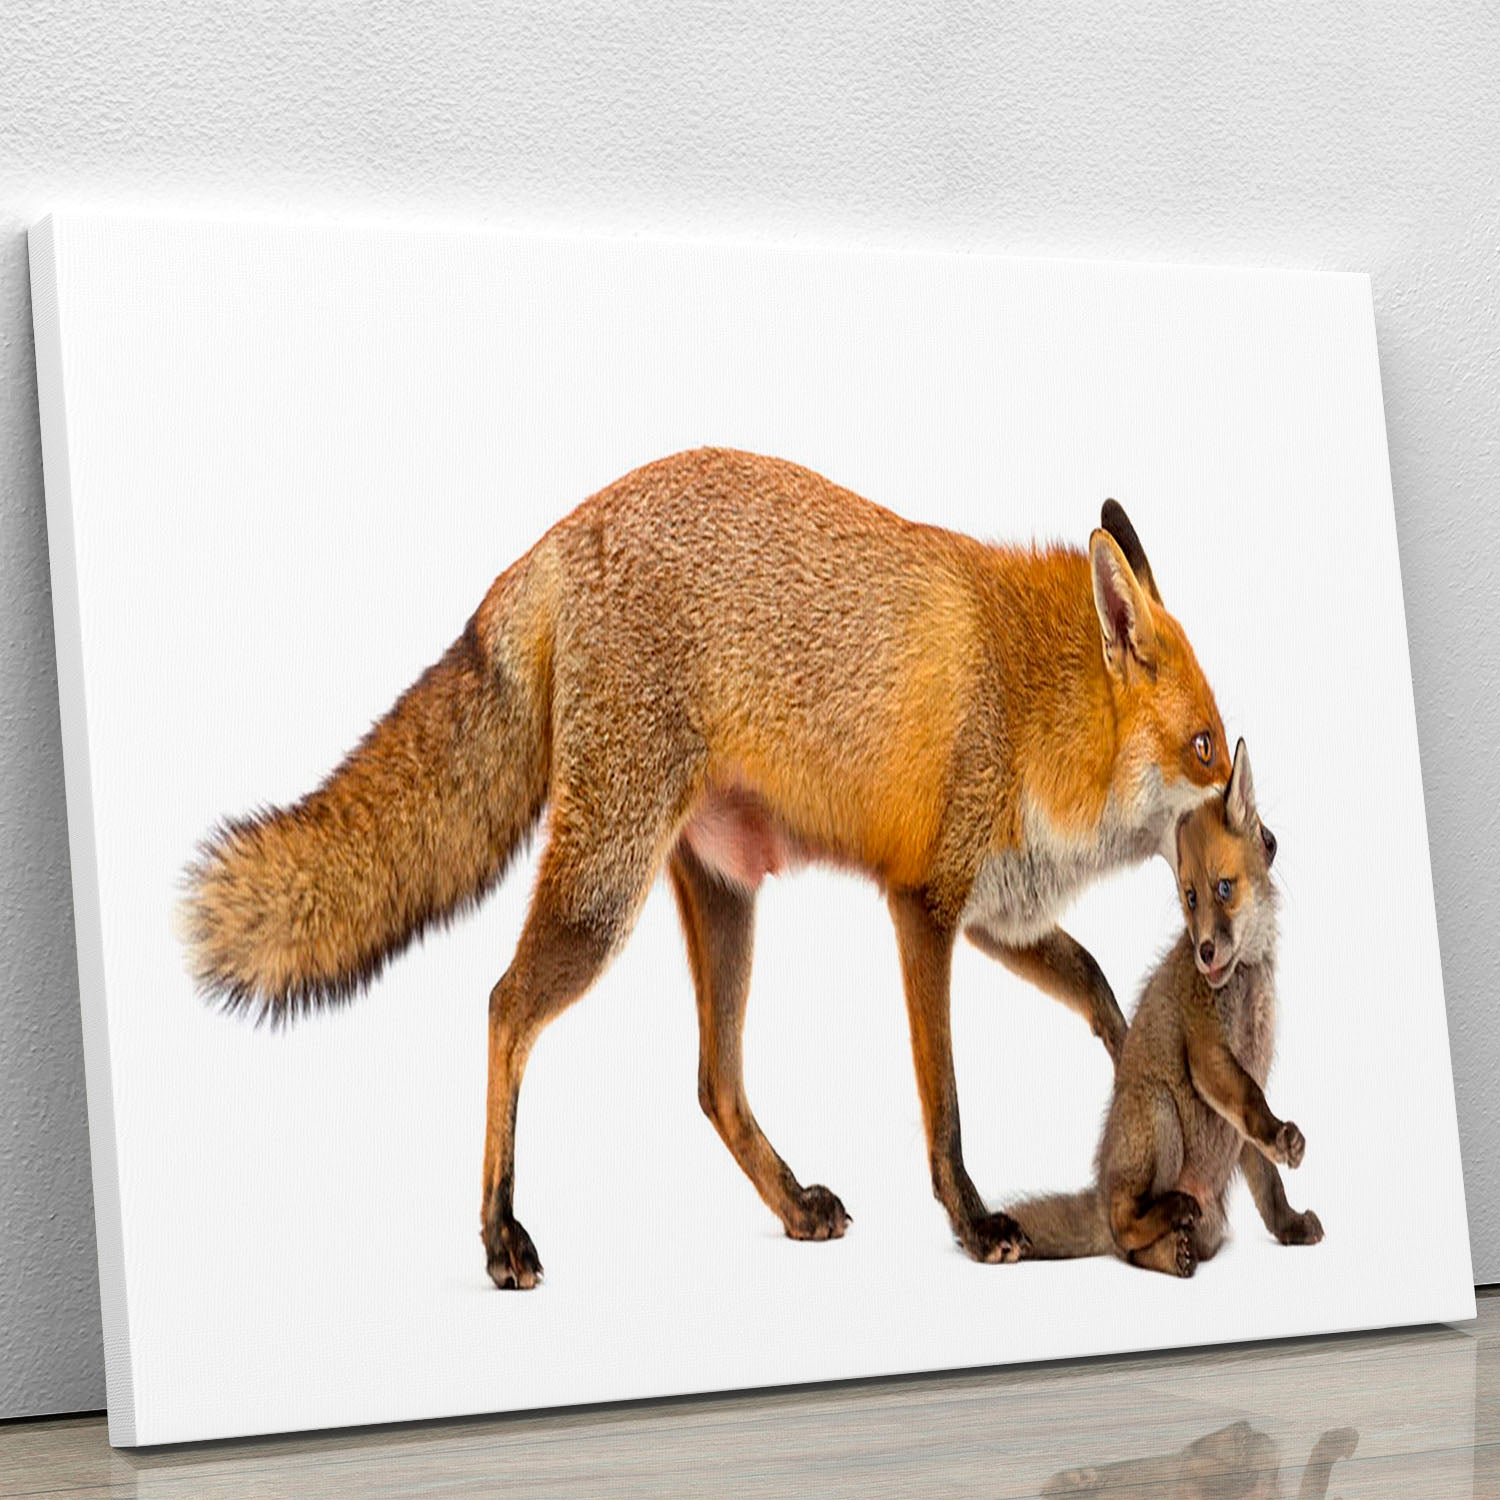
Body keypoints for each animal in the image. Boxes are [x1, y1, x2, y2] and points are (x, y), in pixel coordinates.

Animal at [179, 446, 1232, 1290]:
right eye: (1209, 748)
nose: (1254, 831)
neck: (1027, 705)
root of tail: (557, 534)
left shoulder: (992, 909)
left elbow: (1096, 984)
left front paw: (1141, 1069)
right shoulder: (921, 905)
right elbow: (946, 1108)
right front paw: (974, 1225)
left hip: (723, 896)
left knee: (711, 1082)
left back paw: (792, 1205)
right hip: (605, 890)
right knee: (506, 1008)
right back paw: (500, 1231)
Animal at [1007, 738, 1323, 1276]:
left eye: (1223, 888)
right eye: (1189, 898)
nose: (1205, 953)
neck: (1245, 984)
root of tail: (1099, 1191)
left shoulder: (1249, 1092)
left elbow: (1269, 1186)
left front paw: (1290, 1227)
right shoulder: (1211, 1056)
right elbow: (1251, 1105)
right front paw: (1282, 1135)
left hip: (1206, 1218)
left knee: (1139, 1252)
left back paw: (1175, 1247)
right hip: (1157, 1112)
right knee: (1124, 1231)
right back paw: (1167, 1216)